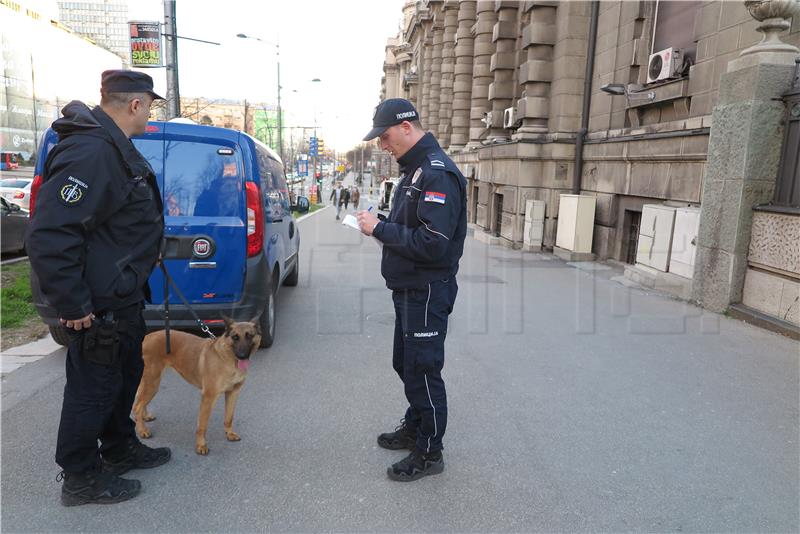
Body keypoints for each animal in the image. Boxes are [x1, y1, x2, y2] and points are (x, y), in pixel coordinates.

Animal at [133, 318, 260, 456]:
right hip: (152, 383)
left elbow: (229, 417)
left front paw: (229, 433)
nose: (242, 356)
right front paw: (201, 445)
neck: (228, 358)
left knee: (140, 401)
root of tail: (146, 337)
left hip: (149, 382)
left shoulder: (233, 393)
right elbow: (202, 425)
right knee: (137, 407)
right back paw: (142, 430)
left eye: (250, 336)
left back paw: (145, 417)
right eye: (235, 337)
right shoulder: (208, 397)